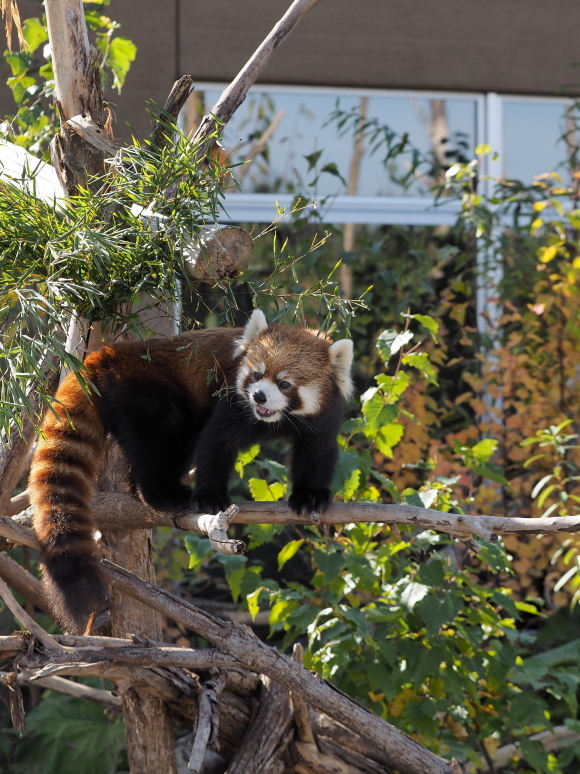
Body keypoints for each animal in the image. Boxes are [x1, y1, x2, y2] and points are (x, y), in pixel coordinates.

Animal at [28, 310, 354, 636]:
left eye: (285, 384)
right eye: (256, 375)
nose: (260, 397)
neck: (276, 419)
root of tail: (107, 353)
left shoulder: (324, 416)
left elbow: (318, 452)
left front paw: (310, 496)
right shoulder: (232, 400)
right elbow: (215, 442)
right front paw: (210, 498)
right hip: (142, 389)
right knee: (164, 434)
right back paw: (162, 494)